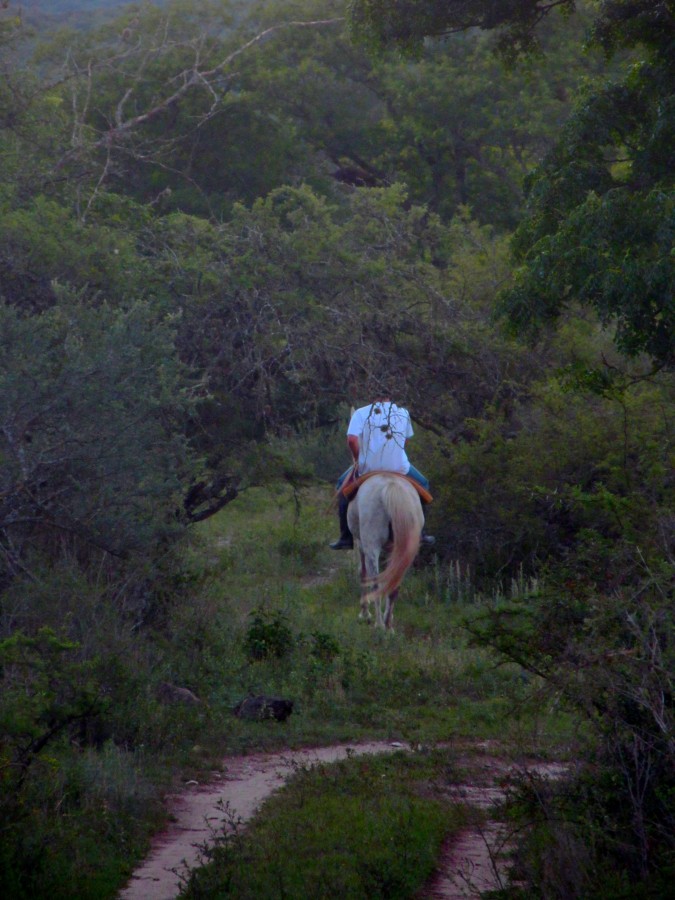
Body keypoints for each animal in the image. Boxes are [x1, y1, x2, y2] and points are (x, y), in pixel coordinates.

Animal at [348, 474, 422, 628]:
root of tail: (391, 485)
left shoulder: (361, 544)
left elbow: (362, 573)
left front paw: (364, 613)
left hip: (372, 546)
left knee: (375, 583)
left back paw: (379, 624)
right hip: (405, 552)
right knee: (395, 584)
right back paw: (388, 625)